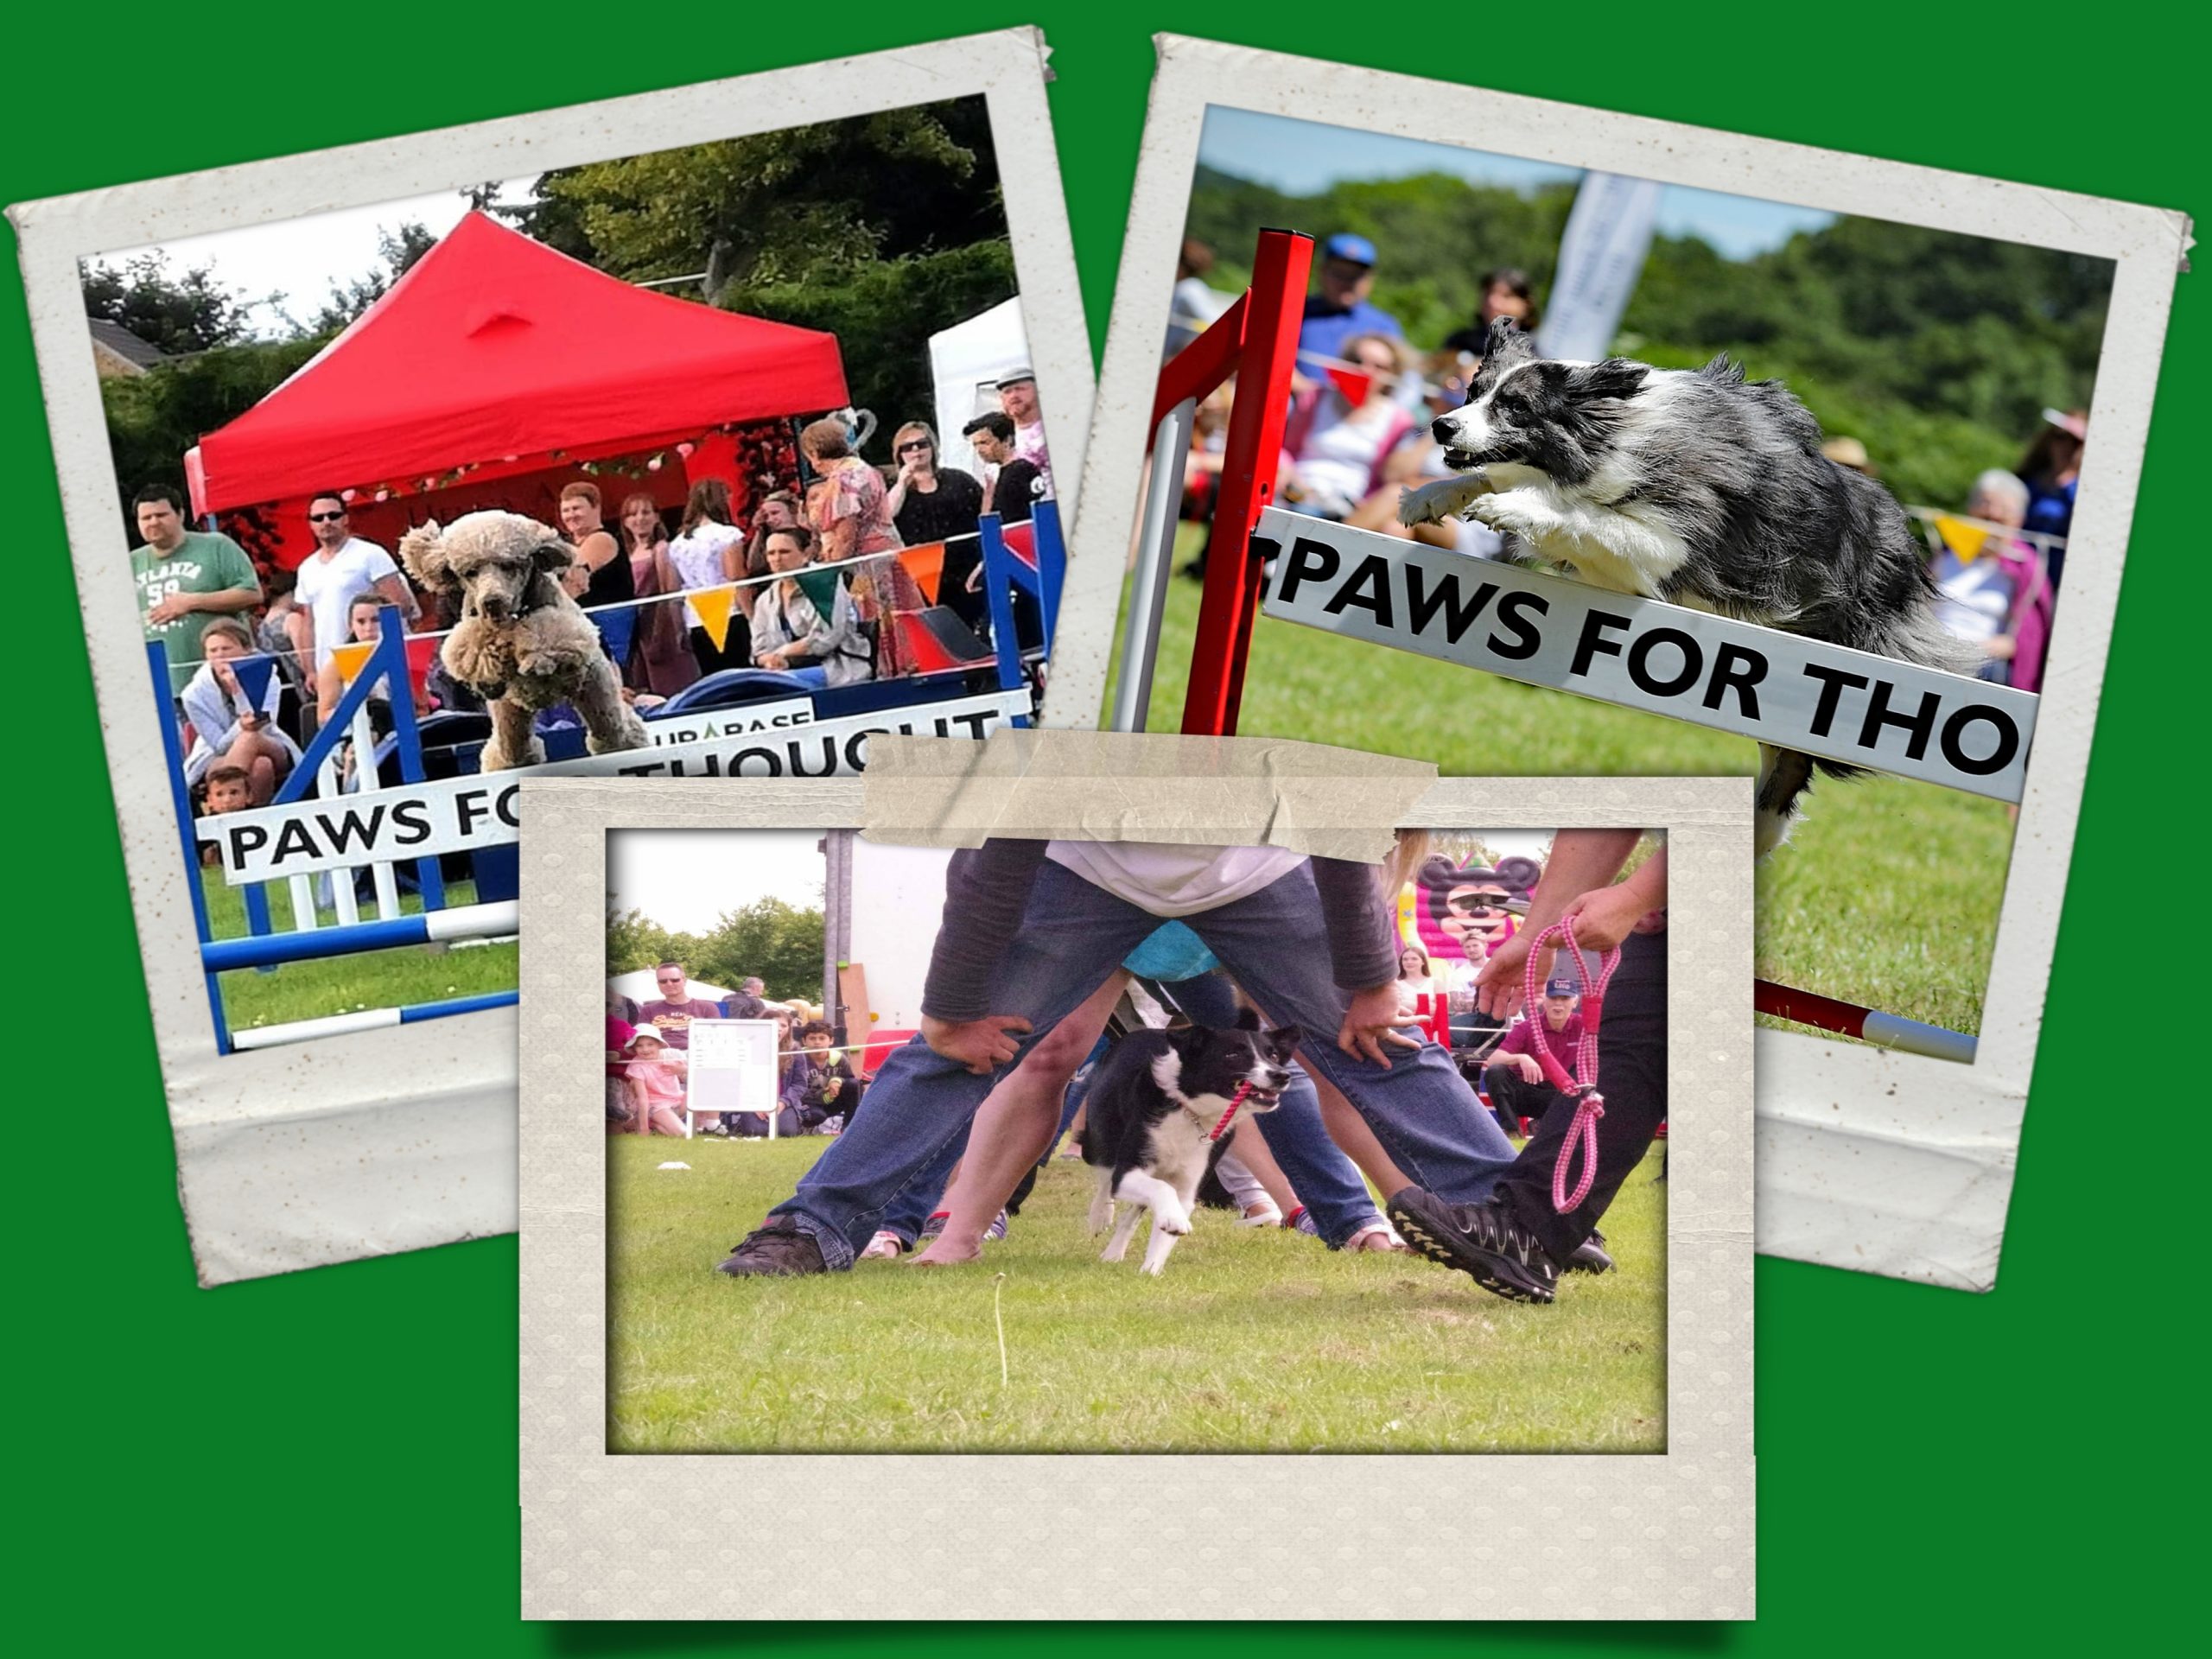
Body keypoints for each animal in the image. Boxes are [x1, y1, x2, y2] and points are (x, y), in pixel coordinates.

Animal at [400, 512, 645, 774]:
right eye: (470, 572)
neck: (514, 616)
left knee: (616, 736)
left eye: (509, 566)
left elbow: (546, 635)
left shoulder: (565, 630)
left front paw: (530, 653)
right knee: (514, 755)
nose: (491, 601)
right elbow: (476, 646)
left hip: (599, 696)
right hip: (511, 724)